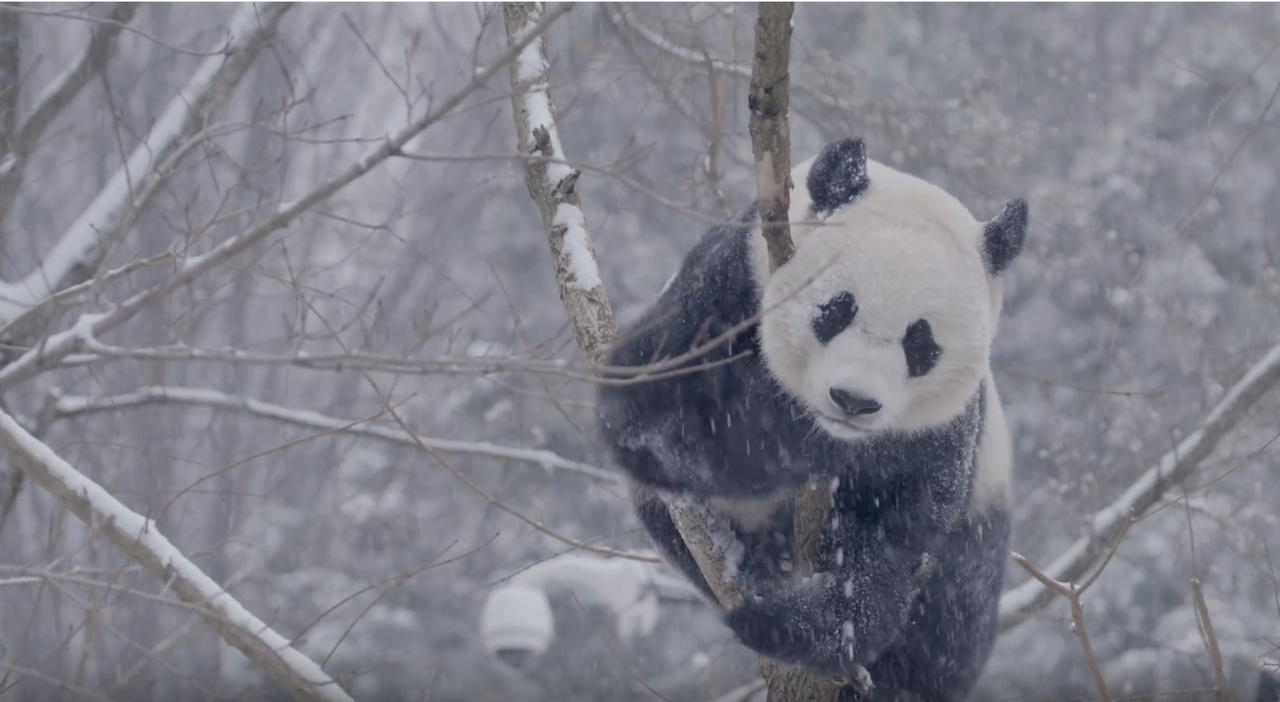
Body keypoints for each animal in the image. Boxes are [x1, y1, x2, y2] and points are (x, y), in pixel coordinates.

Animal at [596, 138, 1029, 702]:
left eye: (921, 342)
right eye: (836, 310)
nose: (853, 400)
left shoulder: (947, 429)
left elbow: (891, 535)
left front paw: (802, 626)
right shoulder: (725, 284)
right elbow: (647, 405)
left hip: (978, 535)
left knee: (948, 627)